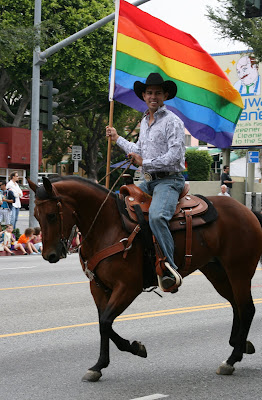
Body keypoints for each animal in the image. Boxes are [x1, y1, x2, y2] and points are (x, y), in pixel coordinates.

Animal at [27, 177, 260, 382]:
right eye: (36, 215)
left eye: (51, 215)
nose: (50, 255)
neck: (107, 226)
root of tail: (246, 210)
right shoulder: (98, 288)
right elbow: (104, 324)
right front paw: (101, 364)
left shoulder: (128, 287)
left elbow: (106, 322)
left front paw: (129, 350)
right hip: (217, 272)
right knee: (236, 306)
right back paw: (240, 344)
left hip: (239, 271)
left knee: (247, 308)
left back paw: (231, 360)